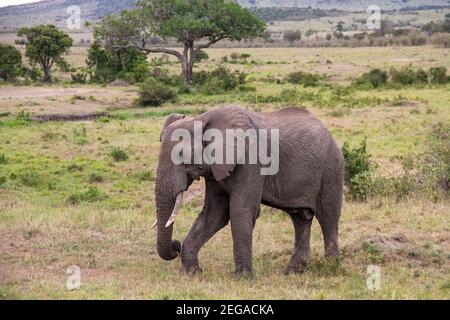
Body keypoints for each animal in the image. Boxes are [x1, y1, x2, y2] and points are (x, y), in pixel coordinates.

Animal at [155, 106, 344, 276]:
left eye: (182, 155)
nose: (176, 245)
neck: (201, 119)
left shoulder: (250, 159)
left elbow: (241, 210)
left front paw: (242, 278)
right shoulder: (216, 169)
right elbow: (214, 214)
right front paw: (191, 273)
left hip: (331, 169)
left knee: (328, 217)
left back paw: (330, 269)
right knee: (300, 218)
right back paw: (292, 272)